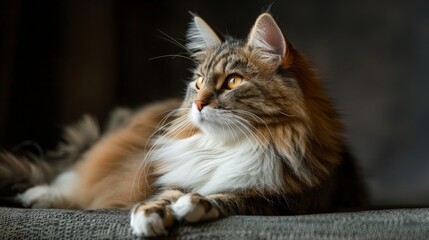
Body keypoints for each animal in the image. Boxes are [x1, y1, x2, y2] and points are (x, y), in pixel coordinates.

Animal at [0, 13, 368, 236]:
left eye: (233, 82)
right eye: (199, 81)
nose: (198, 103)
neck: (231, 144)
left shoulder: (287, 199)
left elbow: (228, 195)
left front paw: (193, 205)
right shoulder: (176, 177)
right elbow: (166, 194)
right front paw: (149, 215)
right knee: (70, 176)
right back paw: (39, 195)